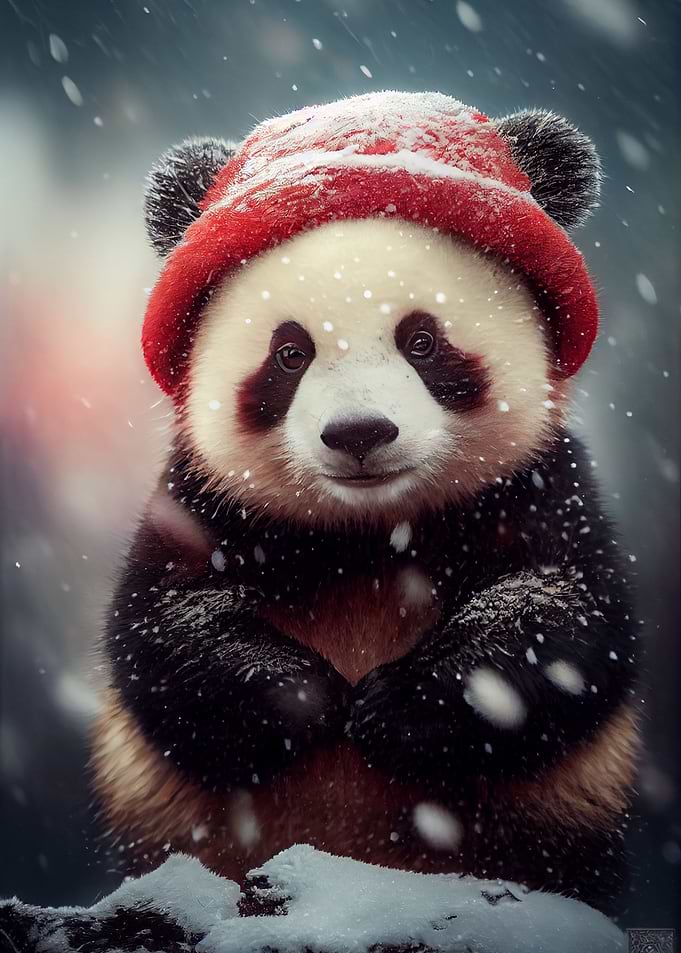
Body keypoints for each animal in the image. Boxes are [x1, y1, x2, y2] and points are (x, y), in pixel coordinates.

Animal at [93, 92, 640, 915]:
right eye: (291, 353)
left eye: (422, 340)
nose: (358, 432)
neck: (373, 531)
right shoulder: (202, 503)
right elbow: (163, 631)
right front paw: (310, 695)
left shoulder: (537, 486)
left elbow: (560, 617)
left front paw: (390, 706)